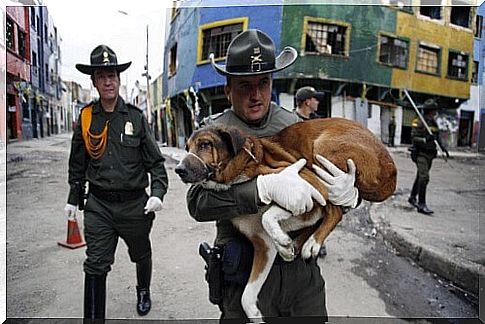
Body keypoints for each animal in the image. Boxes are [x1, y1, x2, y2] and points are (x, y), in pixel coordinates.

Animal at [65, 44, 168, 320]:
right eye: (103, 76)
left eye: (112, 73)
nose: (110, 83)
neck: (110, 108)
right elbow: (76, 169)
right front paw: (71, 207)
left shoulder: (143, 124)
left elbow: (155, 162)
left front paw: (155, 200)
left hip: (136, 227)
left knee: (142, 254)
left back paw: (143, 296)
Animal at [176, 117, 396, 318]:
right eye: (186, 147)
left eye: (205, 144)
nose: (179, 170)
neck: (239, 173)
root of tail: (391, 168)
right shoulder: (264, 245)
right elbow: (246, 297)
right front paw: (256, 315)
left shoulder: (309, 186)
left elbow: (270, 213)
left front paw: (283, 238)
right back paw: (297, 244)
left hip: (323, 156)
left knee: (335, 211)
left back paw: (312, 243)